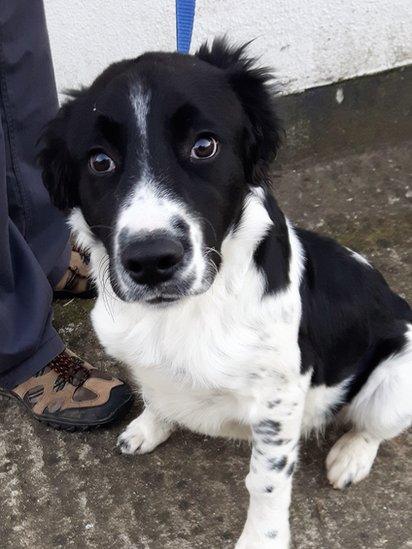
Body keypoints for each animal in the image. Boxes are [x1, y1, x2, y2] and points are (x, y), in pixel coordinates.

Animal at [39, 39, 412, 548]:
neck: (186, 308)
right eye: (100, 161)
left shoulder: (279, 398)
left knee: (373, 427)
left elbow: (267, 482)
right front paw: (150, 427)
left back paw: (351, 456)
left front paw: (262, 539)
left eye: (204, 146)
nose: (151, 261)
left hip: (398, 375)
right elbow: (156, 392)